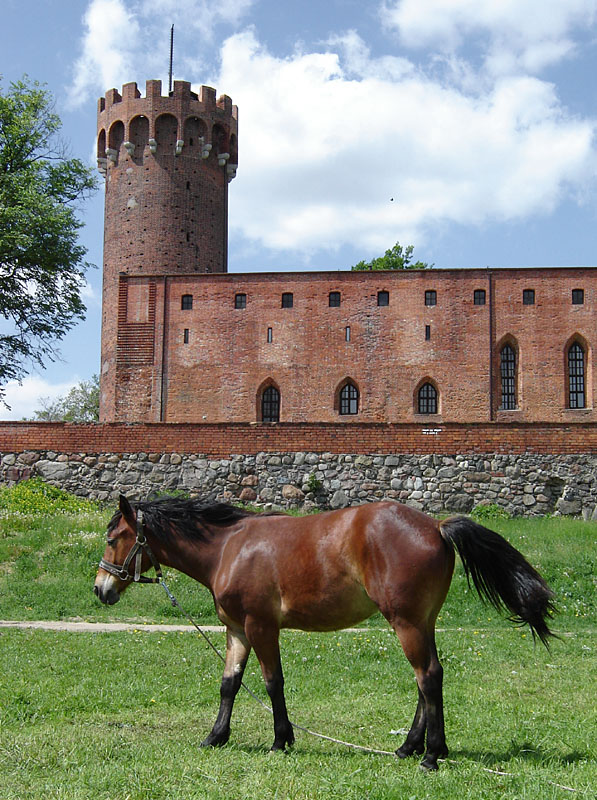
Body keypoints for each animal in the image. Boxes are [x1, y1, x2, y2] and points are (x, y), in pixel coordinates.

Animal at [93, 494, 556, 768]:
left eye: (115, 538)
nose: (101, 589)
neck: (229, 547)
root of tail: (436, 526)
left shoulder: (261, 626)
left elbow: (272, 683)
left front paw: (281, 740)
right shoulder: (236, 630)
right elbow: (230, 684)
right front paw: (215, 737)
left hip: (406, 622)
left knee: (427, 678)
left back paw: (430, 755)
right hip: (422, 623)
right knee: (428, 680)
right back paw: (410, 747)